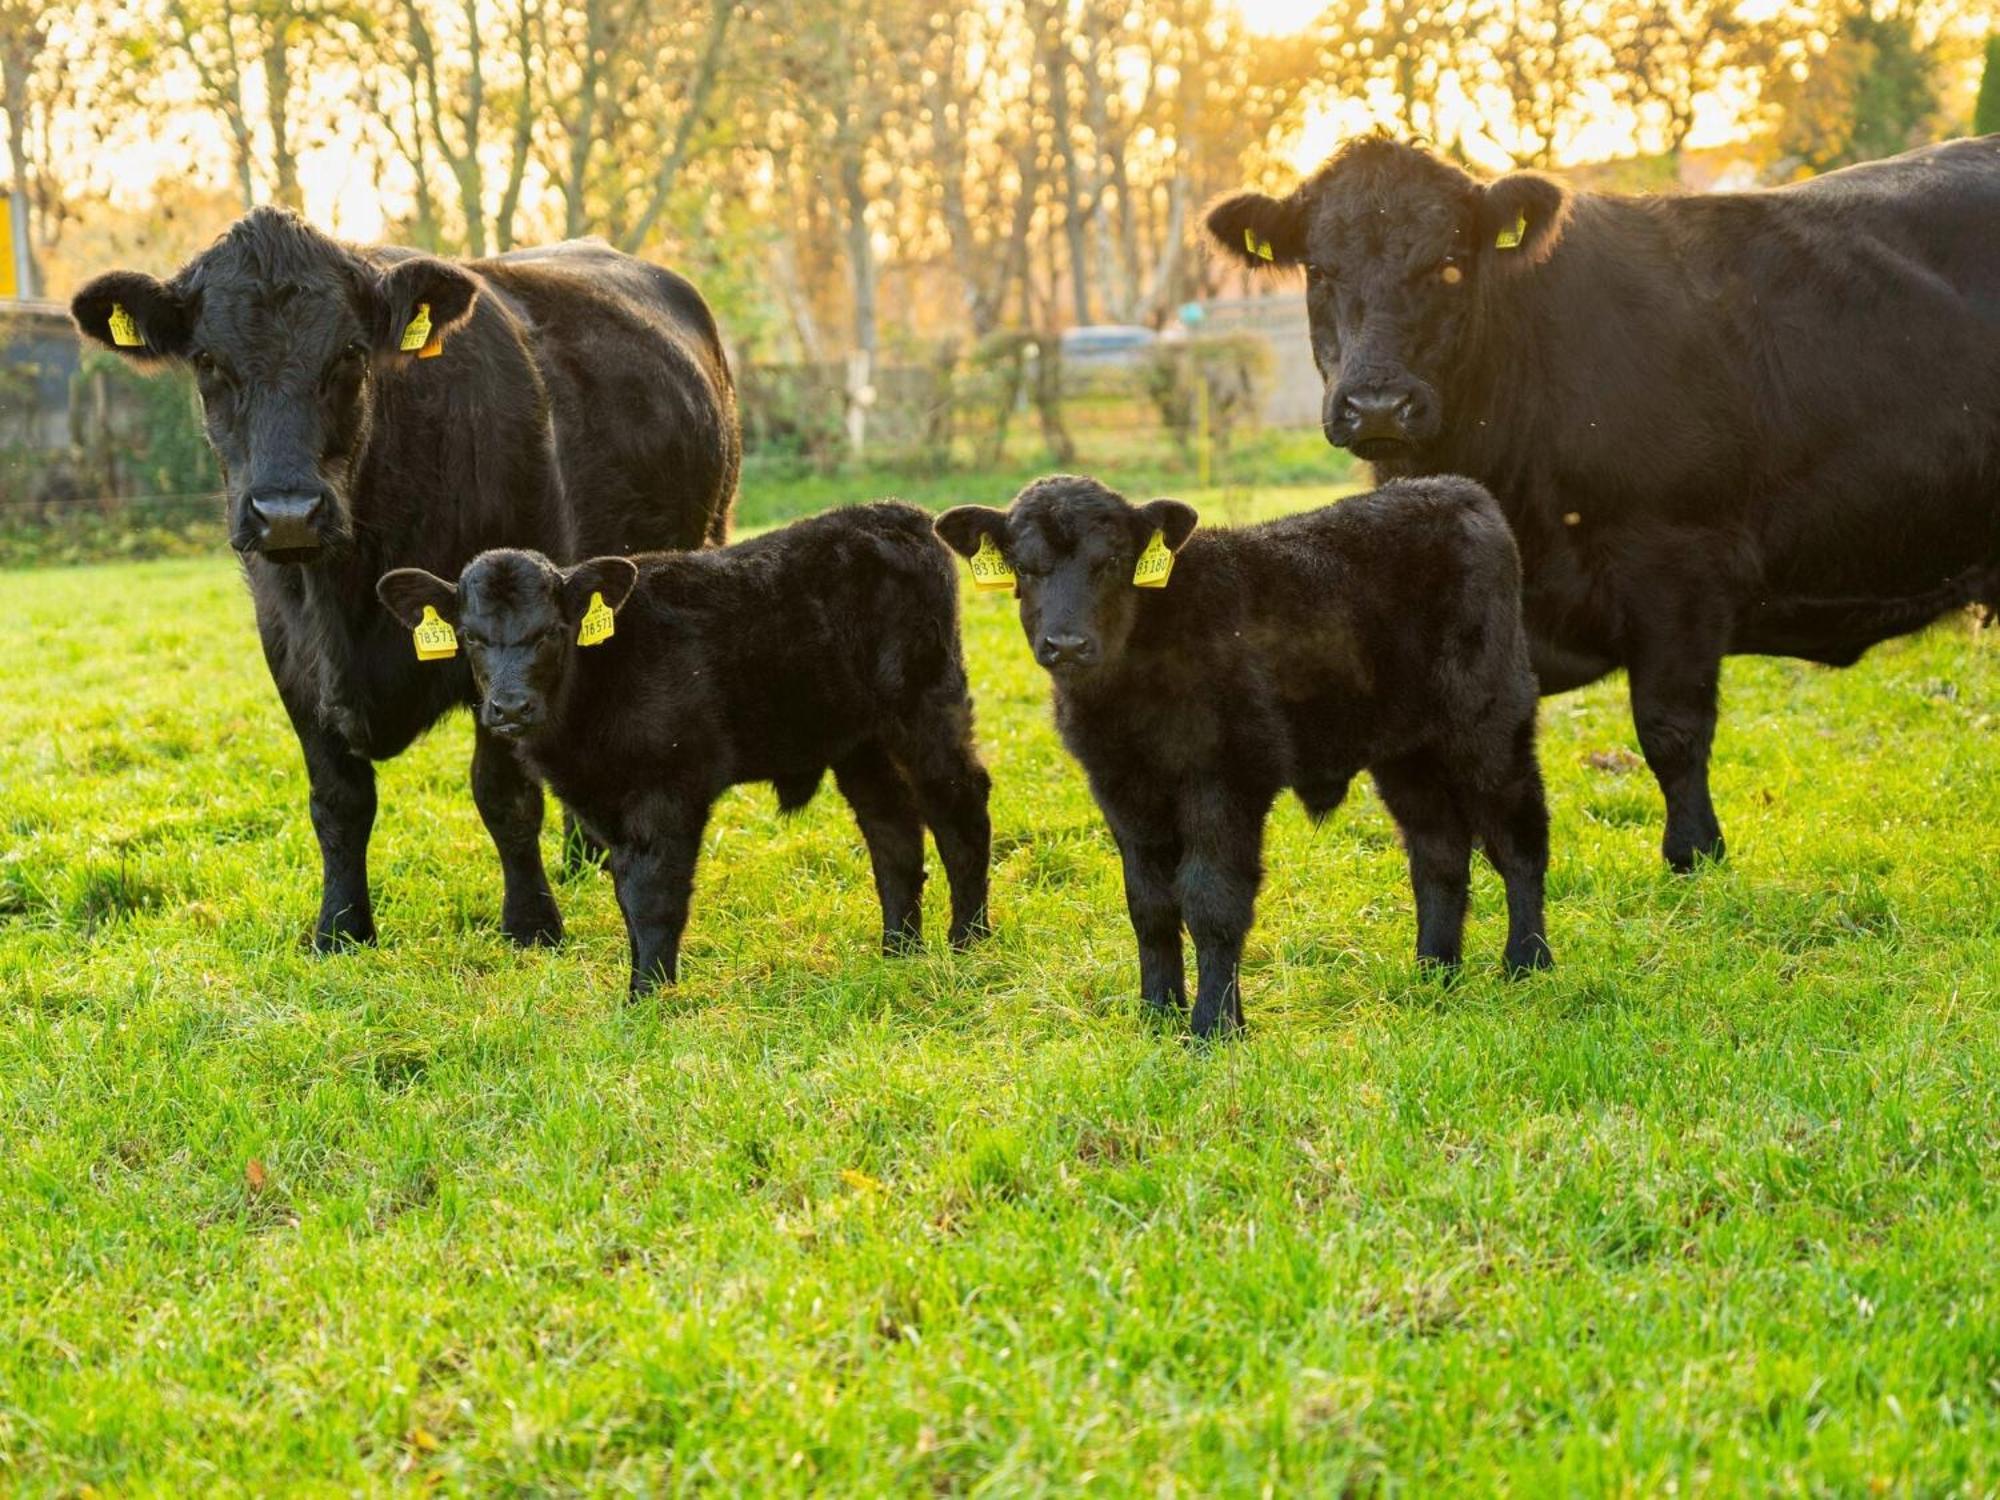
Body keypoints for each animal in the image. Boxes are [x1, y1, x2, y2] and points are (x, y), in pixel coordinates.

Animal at [70, 209, 748, 952]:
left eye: (350, 355)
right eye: (207, 361)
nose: (287, 512)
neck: (345, 597)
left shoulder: (505, 631)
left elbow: (503, 795)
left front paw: (531, 923)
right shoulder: (288, 651)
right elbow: (338, 801)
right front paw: (340, 928)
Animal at [374, 506, 992, 1000]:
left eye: (551, 631)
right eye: (470, 636)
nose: (509, 708)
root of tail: (900, 517)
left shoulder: (670, 787)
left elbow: (654, 895)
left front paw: (647, 996)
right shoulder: (605, 803)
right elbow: (626, 891)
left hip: (927, 707)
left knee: (960, 807)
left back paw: (969, 940)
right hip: (859, 740)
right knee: (892, 829)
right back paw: (898, 950)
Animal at [932, 476, 1544, 1040]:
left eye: (1113, 562)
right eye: (1025, 567)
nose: (1066, 645)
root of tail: (1455, 489)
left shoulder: (1225, 778)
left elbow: (1212, 901)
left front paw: (1214, 1026)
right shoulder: (1120, 787)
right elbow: (1149, 906)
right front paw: (1158, 1015)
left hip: (1492, 723)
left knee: (1519, 840)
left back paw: (1527, 964)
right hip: (1406, 751)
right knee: (1438, 851)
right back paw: (1434, 972)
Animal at [1200, 140, 2000, 876]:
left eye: (1451, 263)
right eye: (1318, 270)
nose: (1376, 404)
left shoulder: (1676, 561)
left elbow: (1671, 727)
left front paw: (1694, 855)